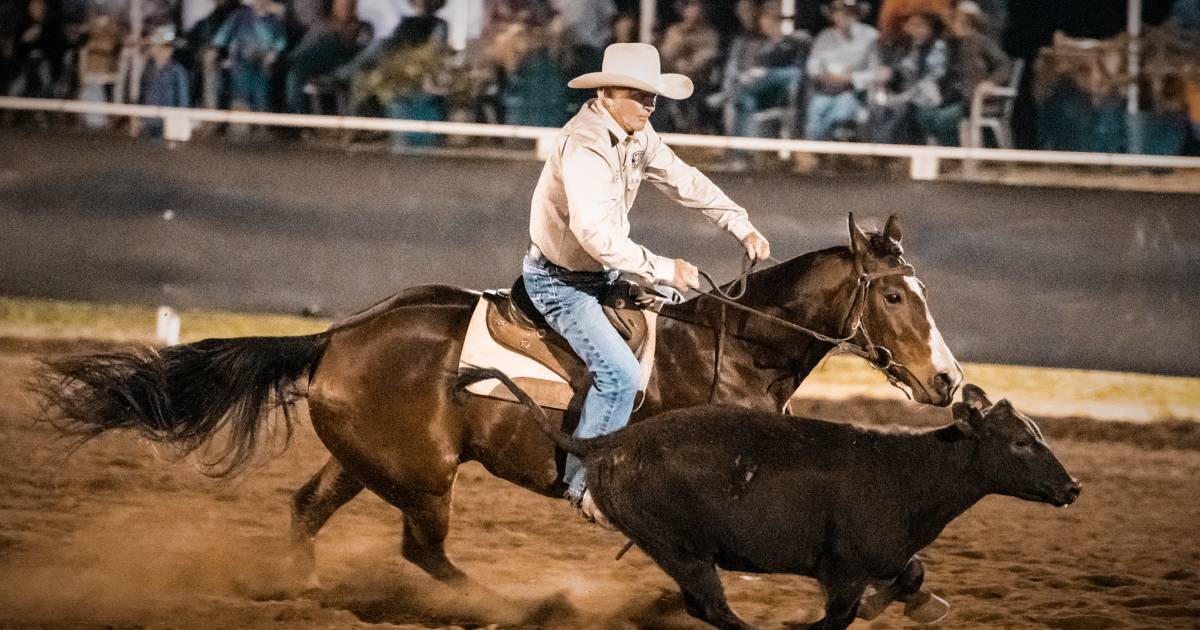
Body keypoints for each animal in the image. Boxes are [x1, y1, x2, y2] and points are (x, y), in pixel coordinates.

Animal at [32, 213, 960, 592]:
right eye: (894, 296)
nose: (948, 381)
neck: (728, 351)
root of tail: (336, 337)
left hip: (366, 463)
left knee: (305, 509)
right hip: (423, 479)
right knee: (423, 552)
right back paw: (499, 605)